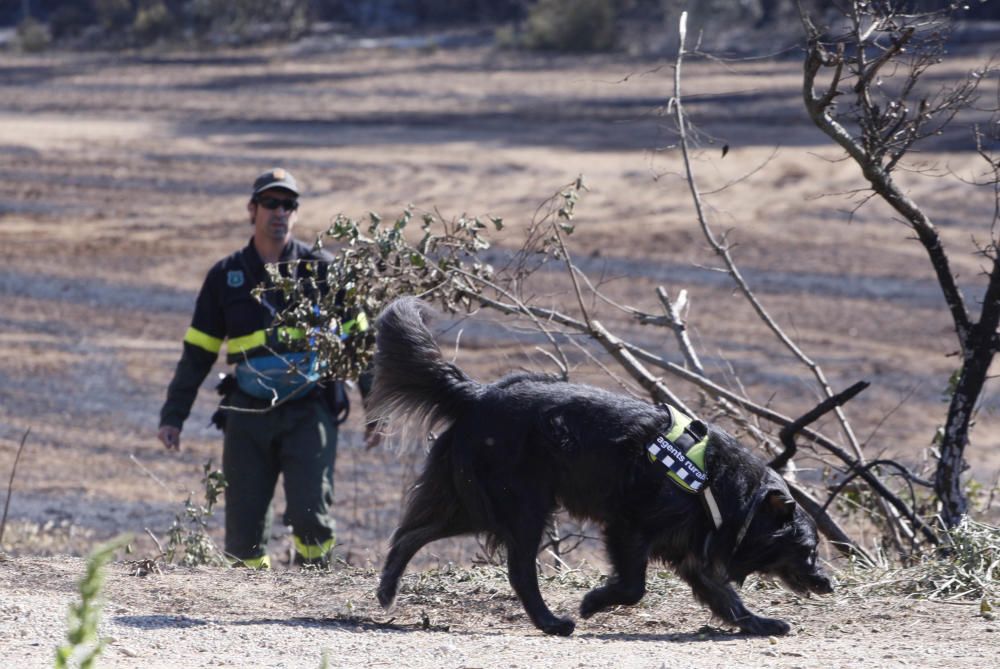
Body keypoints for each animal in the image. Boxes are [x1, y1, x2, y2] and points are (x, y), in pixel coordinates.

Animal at [372, 298, 832, 636]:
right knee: (518, 570)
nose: (827, 582)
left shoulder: (691, 551)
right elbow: (633, 587)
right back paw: (552, 623)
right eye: (807, 550)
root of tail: (477, 394)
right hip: (522, 505)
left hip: (475, 502)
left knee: (412, 533)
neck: (719, 487)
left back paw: (386, 591)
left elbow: (726, 598)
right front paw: (593, 603)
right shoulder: (629, 526)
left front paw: (759, 623)